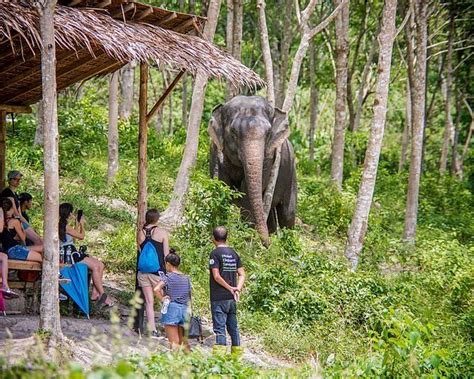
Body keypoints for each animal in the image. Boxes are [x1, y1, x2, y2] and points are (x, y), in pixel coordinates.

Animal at [207, 94, 296, 243]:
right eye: (233, 132)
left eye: (268, 133)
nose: (268, 244)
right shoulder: (215, 150)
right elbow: (221, 185)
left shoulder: (268, 159)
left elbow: (247, 193)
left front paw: (246, 237)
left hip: (291, 173)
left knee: (287, 214)